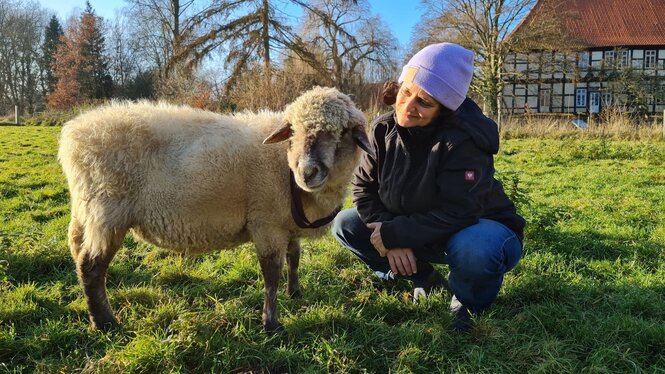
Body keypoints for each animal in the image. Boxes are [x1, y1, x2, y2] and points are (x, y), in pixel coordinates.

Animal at [57, 86, 370, 332]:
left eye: (341, 132)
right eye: (292, 130)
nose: (307, 172)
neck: (283, 161)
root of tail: (73, 134)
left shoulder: (286, 222)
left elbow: (294, 257)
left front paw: (295, 293)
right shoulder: (266, 222)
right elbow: (272, 275)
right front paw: (272, 324)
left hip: (86, 212)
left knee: (78, 253)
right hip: (107, 212)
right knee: (91, 267)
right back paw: (105, 322)